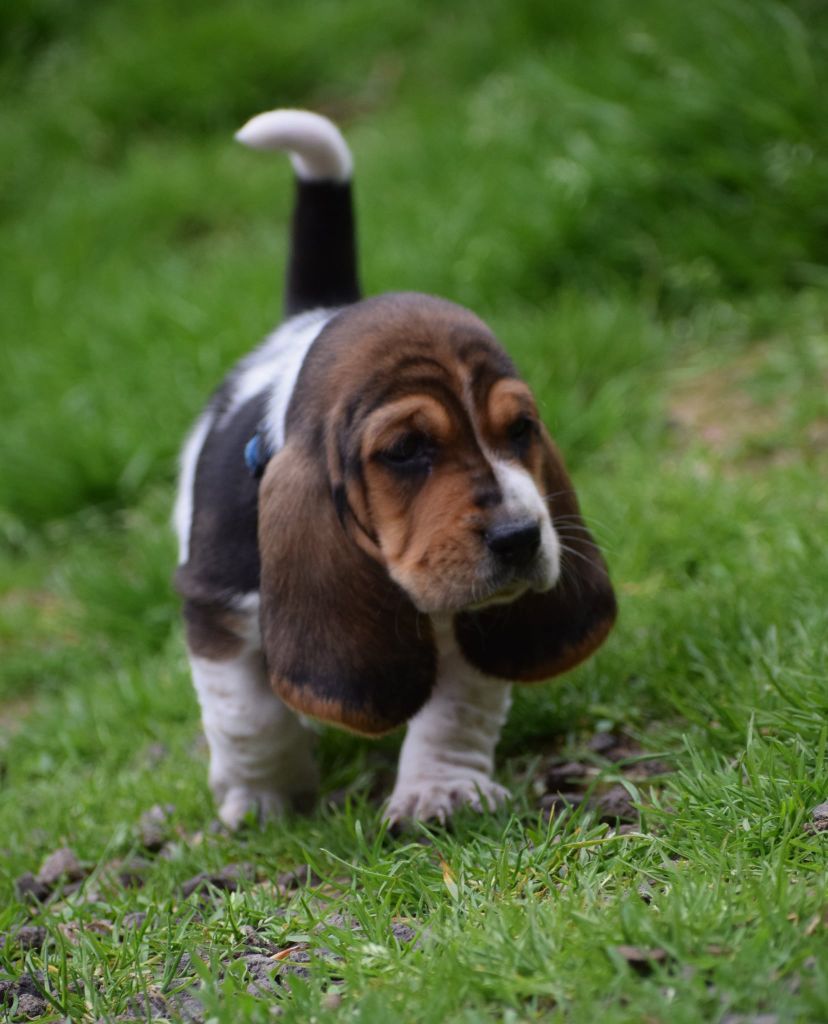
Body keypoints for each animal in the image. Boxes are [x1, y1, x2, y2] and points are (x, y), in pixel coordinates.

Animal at [173, 109, 616, 828]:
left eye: (521, 429)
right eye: (406, 450)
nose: (521, 538)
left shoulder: (472, 613)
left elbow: (456, 712)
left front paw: (442, 790)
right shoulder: (214, 608)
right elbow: (249, 717)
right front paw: (264, 798)